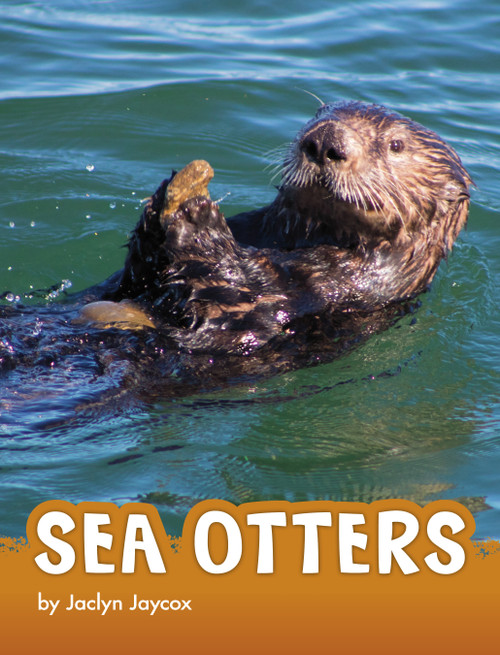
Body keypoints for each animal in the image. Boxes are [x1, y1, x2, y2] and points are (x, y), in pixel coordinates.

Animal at [0, 101, 471, 397]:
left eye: (396, 146)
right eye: (320, 113)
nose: (324, 142)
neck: (293, 241)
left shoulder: (336, 289)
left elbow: (228, 296)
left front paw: (196, 217)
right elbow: (133, 276)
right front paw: (163, 204)